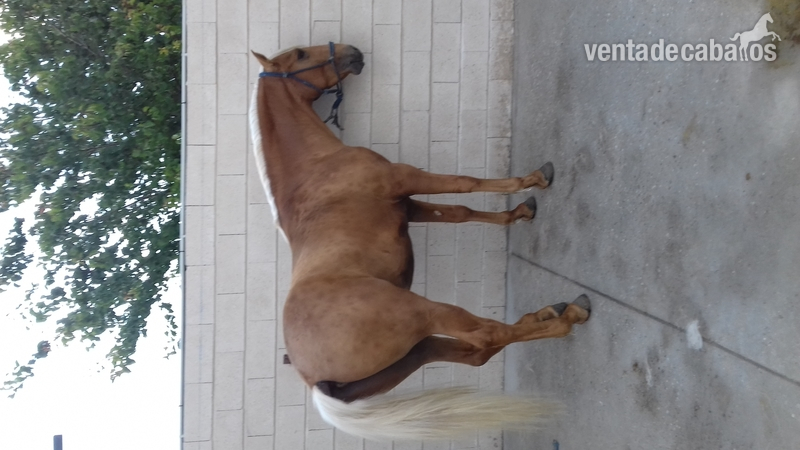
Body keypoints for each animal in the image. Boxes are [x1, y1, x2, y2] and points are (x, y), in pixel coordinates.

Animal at [248, 42, 591, 441]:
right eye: (302, 54)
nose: (353, 52)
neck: (316, 170)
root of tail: (312, 378)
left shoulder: (408, 206)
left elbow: (459, 210)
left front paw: (520, 211)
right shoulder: (407, 180)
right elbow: (465, 183)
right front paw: (534, 180)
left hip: (413, 352)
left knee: (476, 351)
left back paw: (544, 312)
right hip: (425, 313)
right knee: (486, 335)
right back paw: (567, 317)